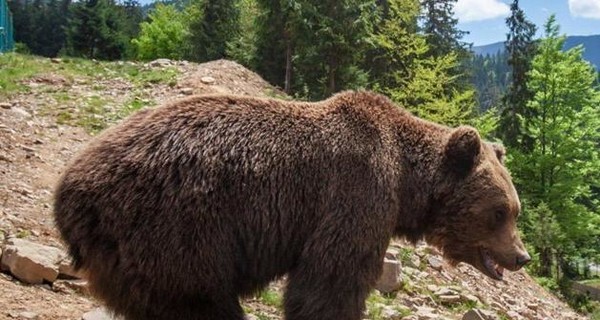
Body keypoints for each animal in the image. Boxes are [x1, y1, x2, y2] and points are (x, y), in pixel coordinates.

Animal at [52, 91, 528, 320]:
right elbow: (330, 282)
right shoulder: (355, 194)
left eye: (514, 209)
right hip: (175, 230)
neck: (406, 183)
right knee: (201, 303)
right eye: (499, 212)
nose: (521, 256)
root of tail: (70, 189)